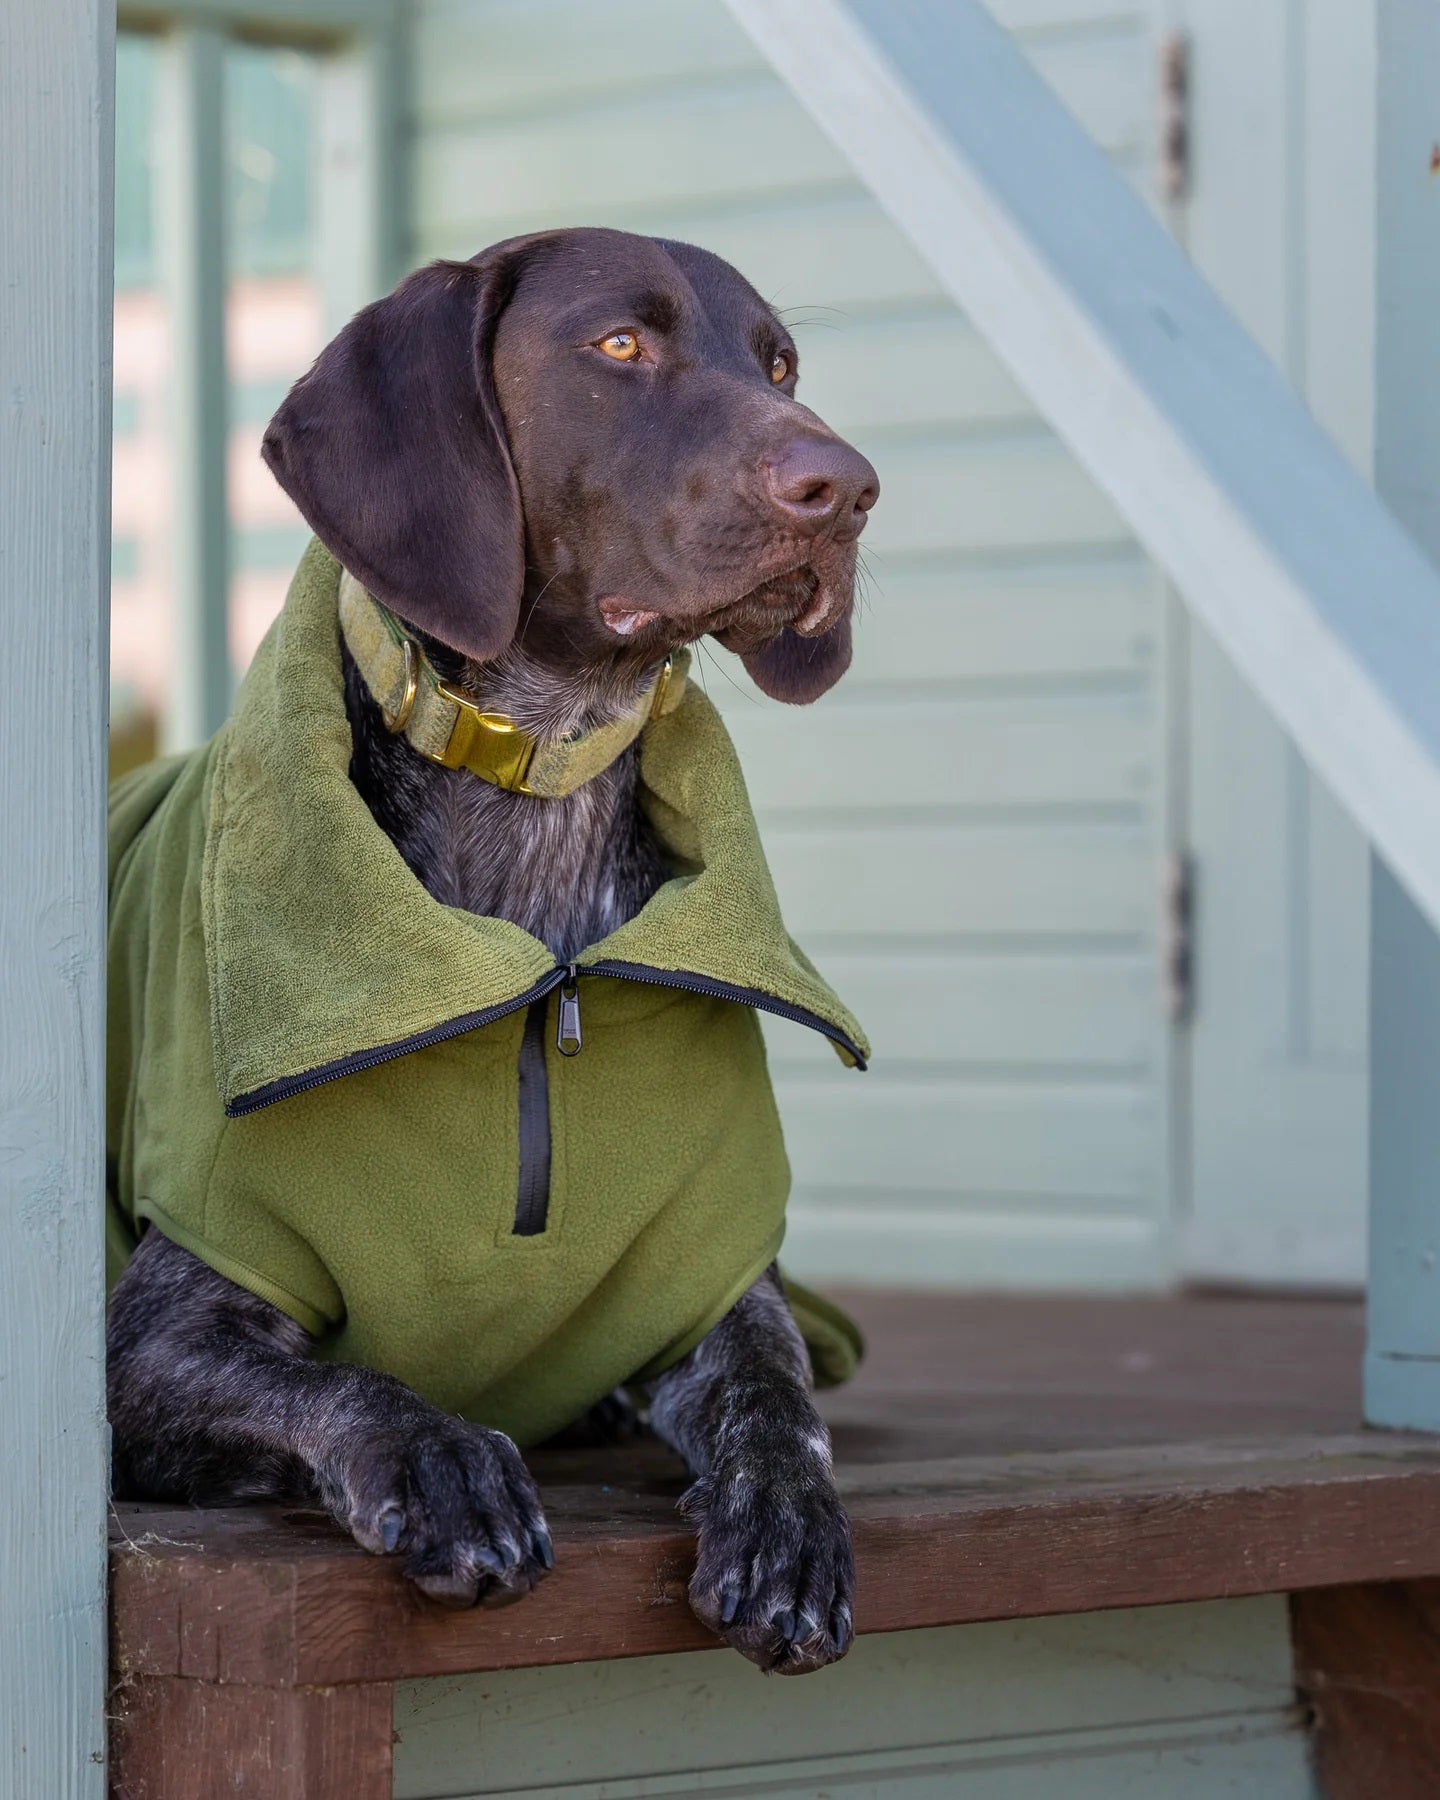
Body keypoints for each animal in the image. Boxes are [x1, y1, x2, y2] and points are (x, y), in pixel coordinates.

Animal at [107, 225, 878, 1670]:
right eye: (620, 344)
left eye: (781, 365)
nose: (847, 489)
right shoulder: (146, 1347)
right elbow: (344, 1383)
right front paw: (445, 1461)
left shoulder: (721, 1290)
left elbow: (779, 1400)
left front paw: (791, 1520)